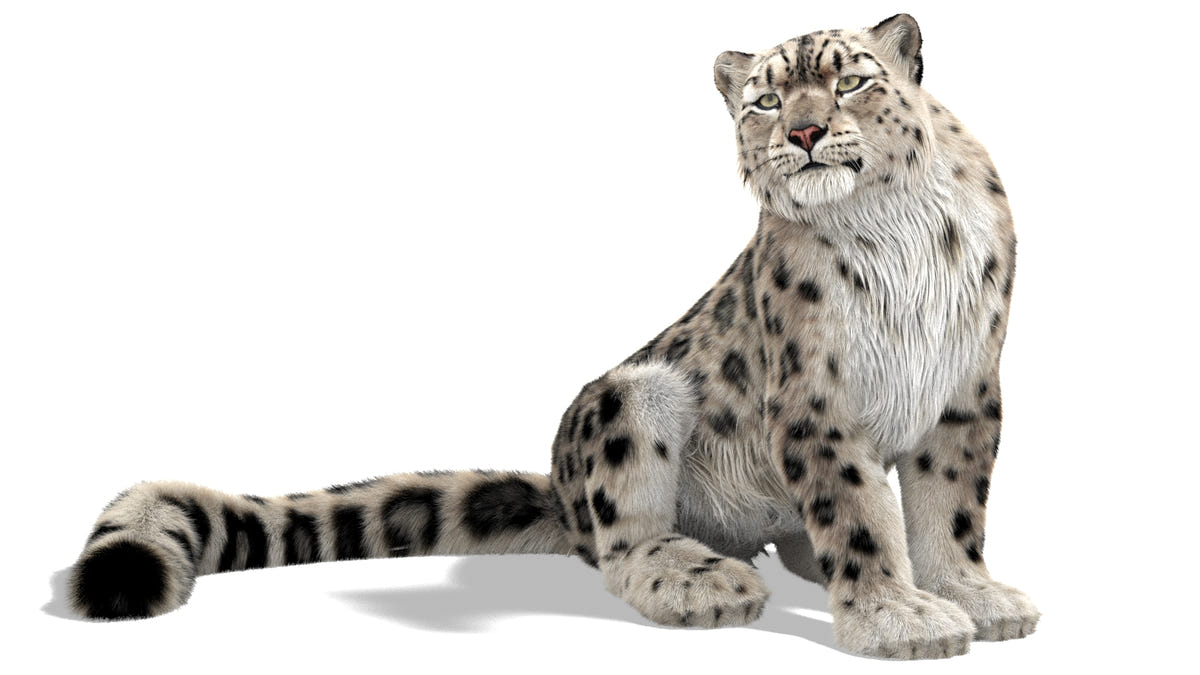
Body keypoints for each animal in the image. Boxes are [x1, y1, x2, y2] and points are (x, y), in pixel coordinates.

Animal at [67, 14, 1039, 659]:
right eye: (765, 98)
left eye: (851, 80)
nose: (801, 131)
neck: (894, 234)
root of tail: (561, 488)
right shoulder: (815, 396)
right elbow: (856, 512)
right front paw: (897, 615)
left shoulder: (969, 388)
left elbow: (952, 505)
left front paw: (971, 594)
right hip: (628, 397)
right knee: (619, 538)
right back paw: (702, 578)